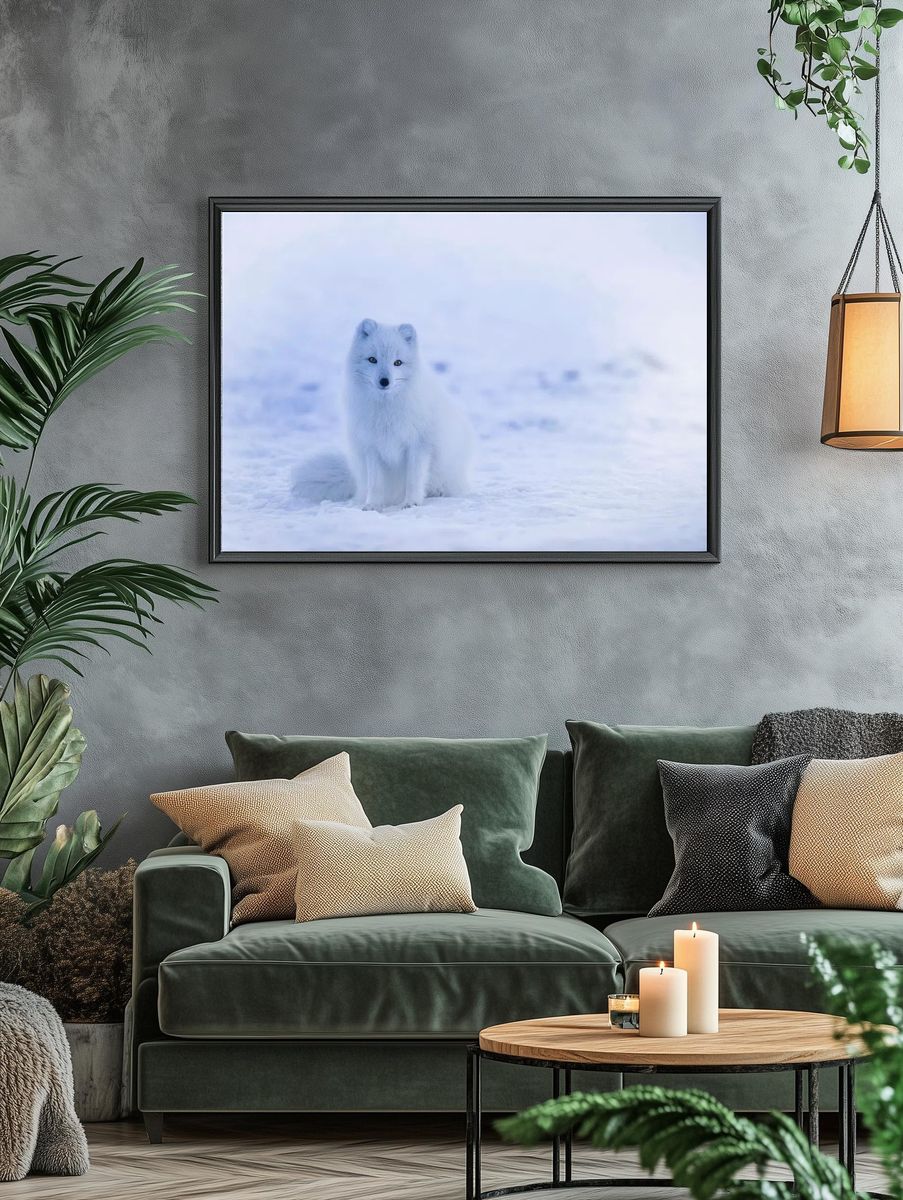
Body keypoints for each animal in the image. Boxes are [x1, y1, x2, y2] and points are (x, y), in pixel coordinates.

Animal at [291, 319, 473, 510]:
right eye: (372, 359)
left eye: (398, 362)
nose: (384, 381)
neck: (386, 410)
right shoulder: (372, 447)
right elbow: (375, 483)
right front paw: (372, 505)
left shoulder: (418, 445)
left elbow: (413, 480)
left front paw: (411, 502)